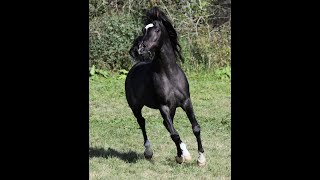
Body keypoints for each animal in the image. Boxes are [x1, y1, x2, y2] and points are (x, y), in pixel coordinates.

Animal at [125, 6, 205, 166]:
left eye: (157, 30)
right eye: (144, 29)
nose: (141, 48)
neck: (169, 74)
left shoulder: (186, 102)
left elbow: (195, 128)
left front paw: (200, 158)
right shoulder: (164, 107)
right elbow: (174, 134)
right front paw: (181, 156)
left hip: (173, 108)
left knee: (166, 124)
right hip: (136, 107)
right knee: (142, 122)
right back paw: (149, 151)